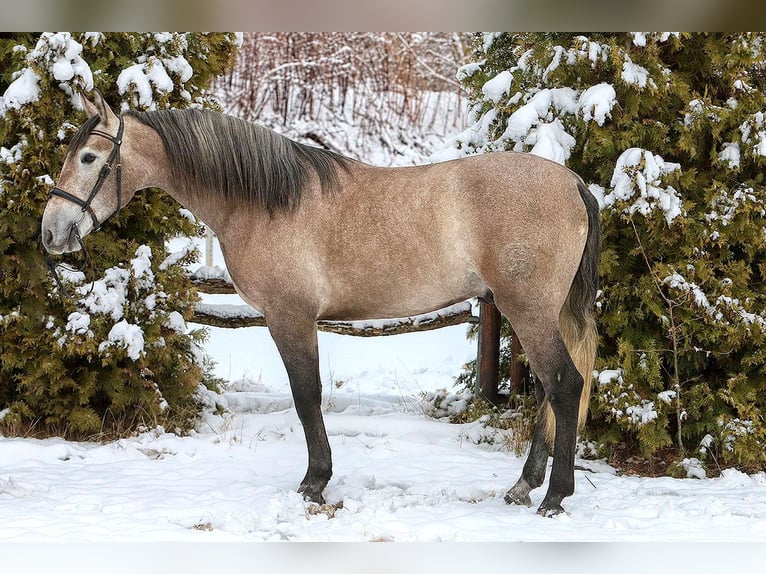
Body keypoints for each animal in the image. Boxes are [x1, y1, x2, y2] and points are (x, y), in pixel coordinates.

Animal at [41, 90, 599, 517]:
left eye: (88, 158)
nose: (51, 233)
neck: (263, 201)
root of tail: (571, 181)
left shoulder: (289, 317)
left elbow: (306, 395)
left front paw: (315, 482)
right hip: (533, 313)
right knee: (548, 392)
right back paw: (523, 486)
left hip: (527, 310)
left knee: (565, 386)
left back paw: (554, 497)